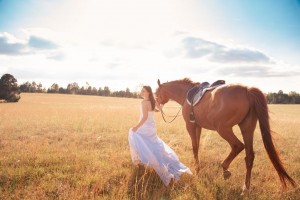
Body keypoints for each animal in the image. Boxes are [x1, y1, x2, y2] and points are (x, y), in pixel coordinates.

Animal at [156, 77, 296, 195]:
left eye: (156, 92)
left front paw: (197, 170)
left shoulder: (190, 126)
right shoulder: (198, 127)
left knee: (237, 146)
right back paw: (245, 188)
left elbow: (195, 148)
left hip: (223, 129)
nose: (156, 106)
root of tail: (247, 90)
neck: (186, 95)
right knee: (249, 156)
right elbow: (197, 147)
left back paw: (225, 169)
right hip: (247, 128)